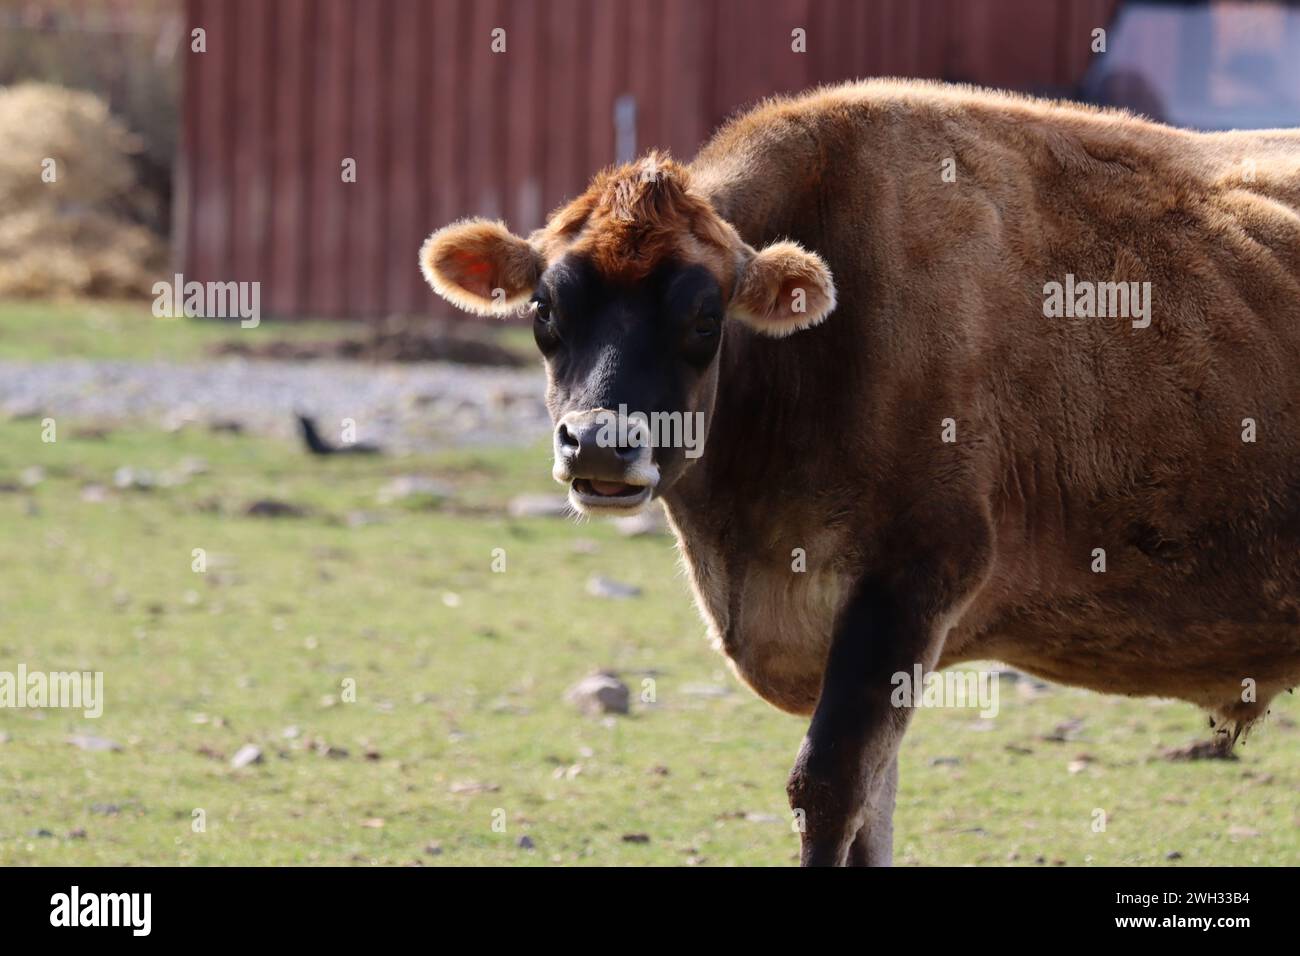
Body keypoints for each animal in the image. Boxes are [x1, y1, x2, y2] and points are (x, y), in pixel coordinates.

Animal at [423, 82, 1300, 868]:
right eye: (544, 310)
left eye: (704, 318)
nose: (600, 445)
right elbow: (871, 811)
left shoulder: (914, 579)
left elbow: (828, 789)